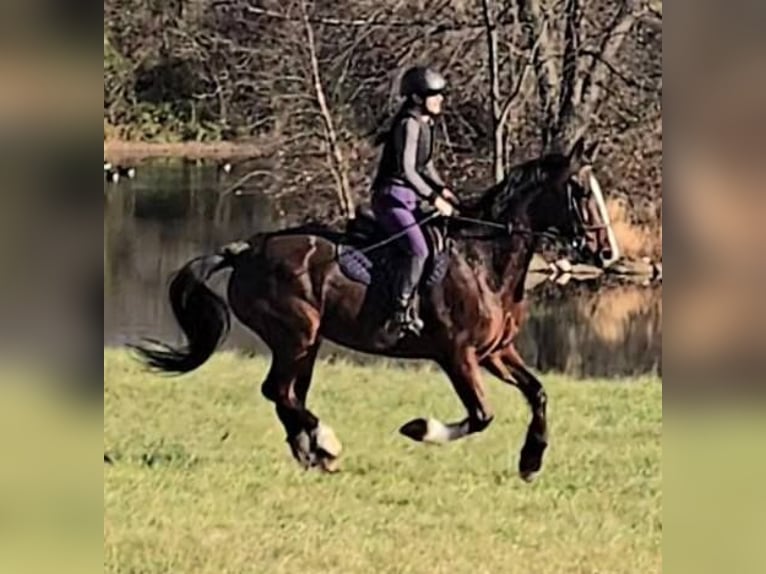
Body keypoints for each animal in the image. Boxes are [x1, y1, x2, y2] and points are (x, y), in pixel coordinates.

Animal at [133, 137, 617, 480]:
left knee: (288, 394)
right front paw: (419, 429)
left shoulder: (496, 352)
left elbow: (538, 393)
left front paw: (530, 461)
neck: (484, 259)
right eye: (579, 190)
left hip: (306, 342)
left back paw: (313, 452)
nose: (608, 252)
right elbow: (481, 416)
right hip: (295, 335)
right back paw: (326, 444)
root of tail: (246, 249)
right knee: (278, 391)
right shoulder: (457, 355)